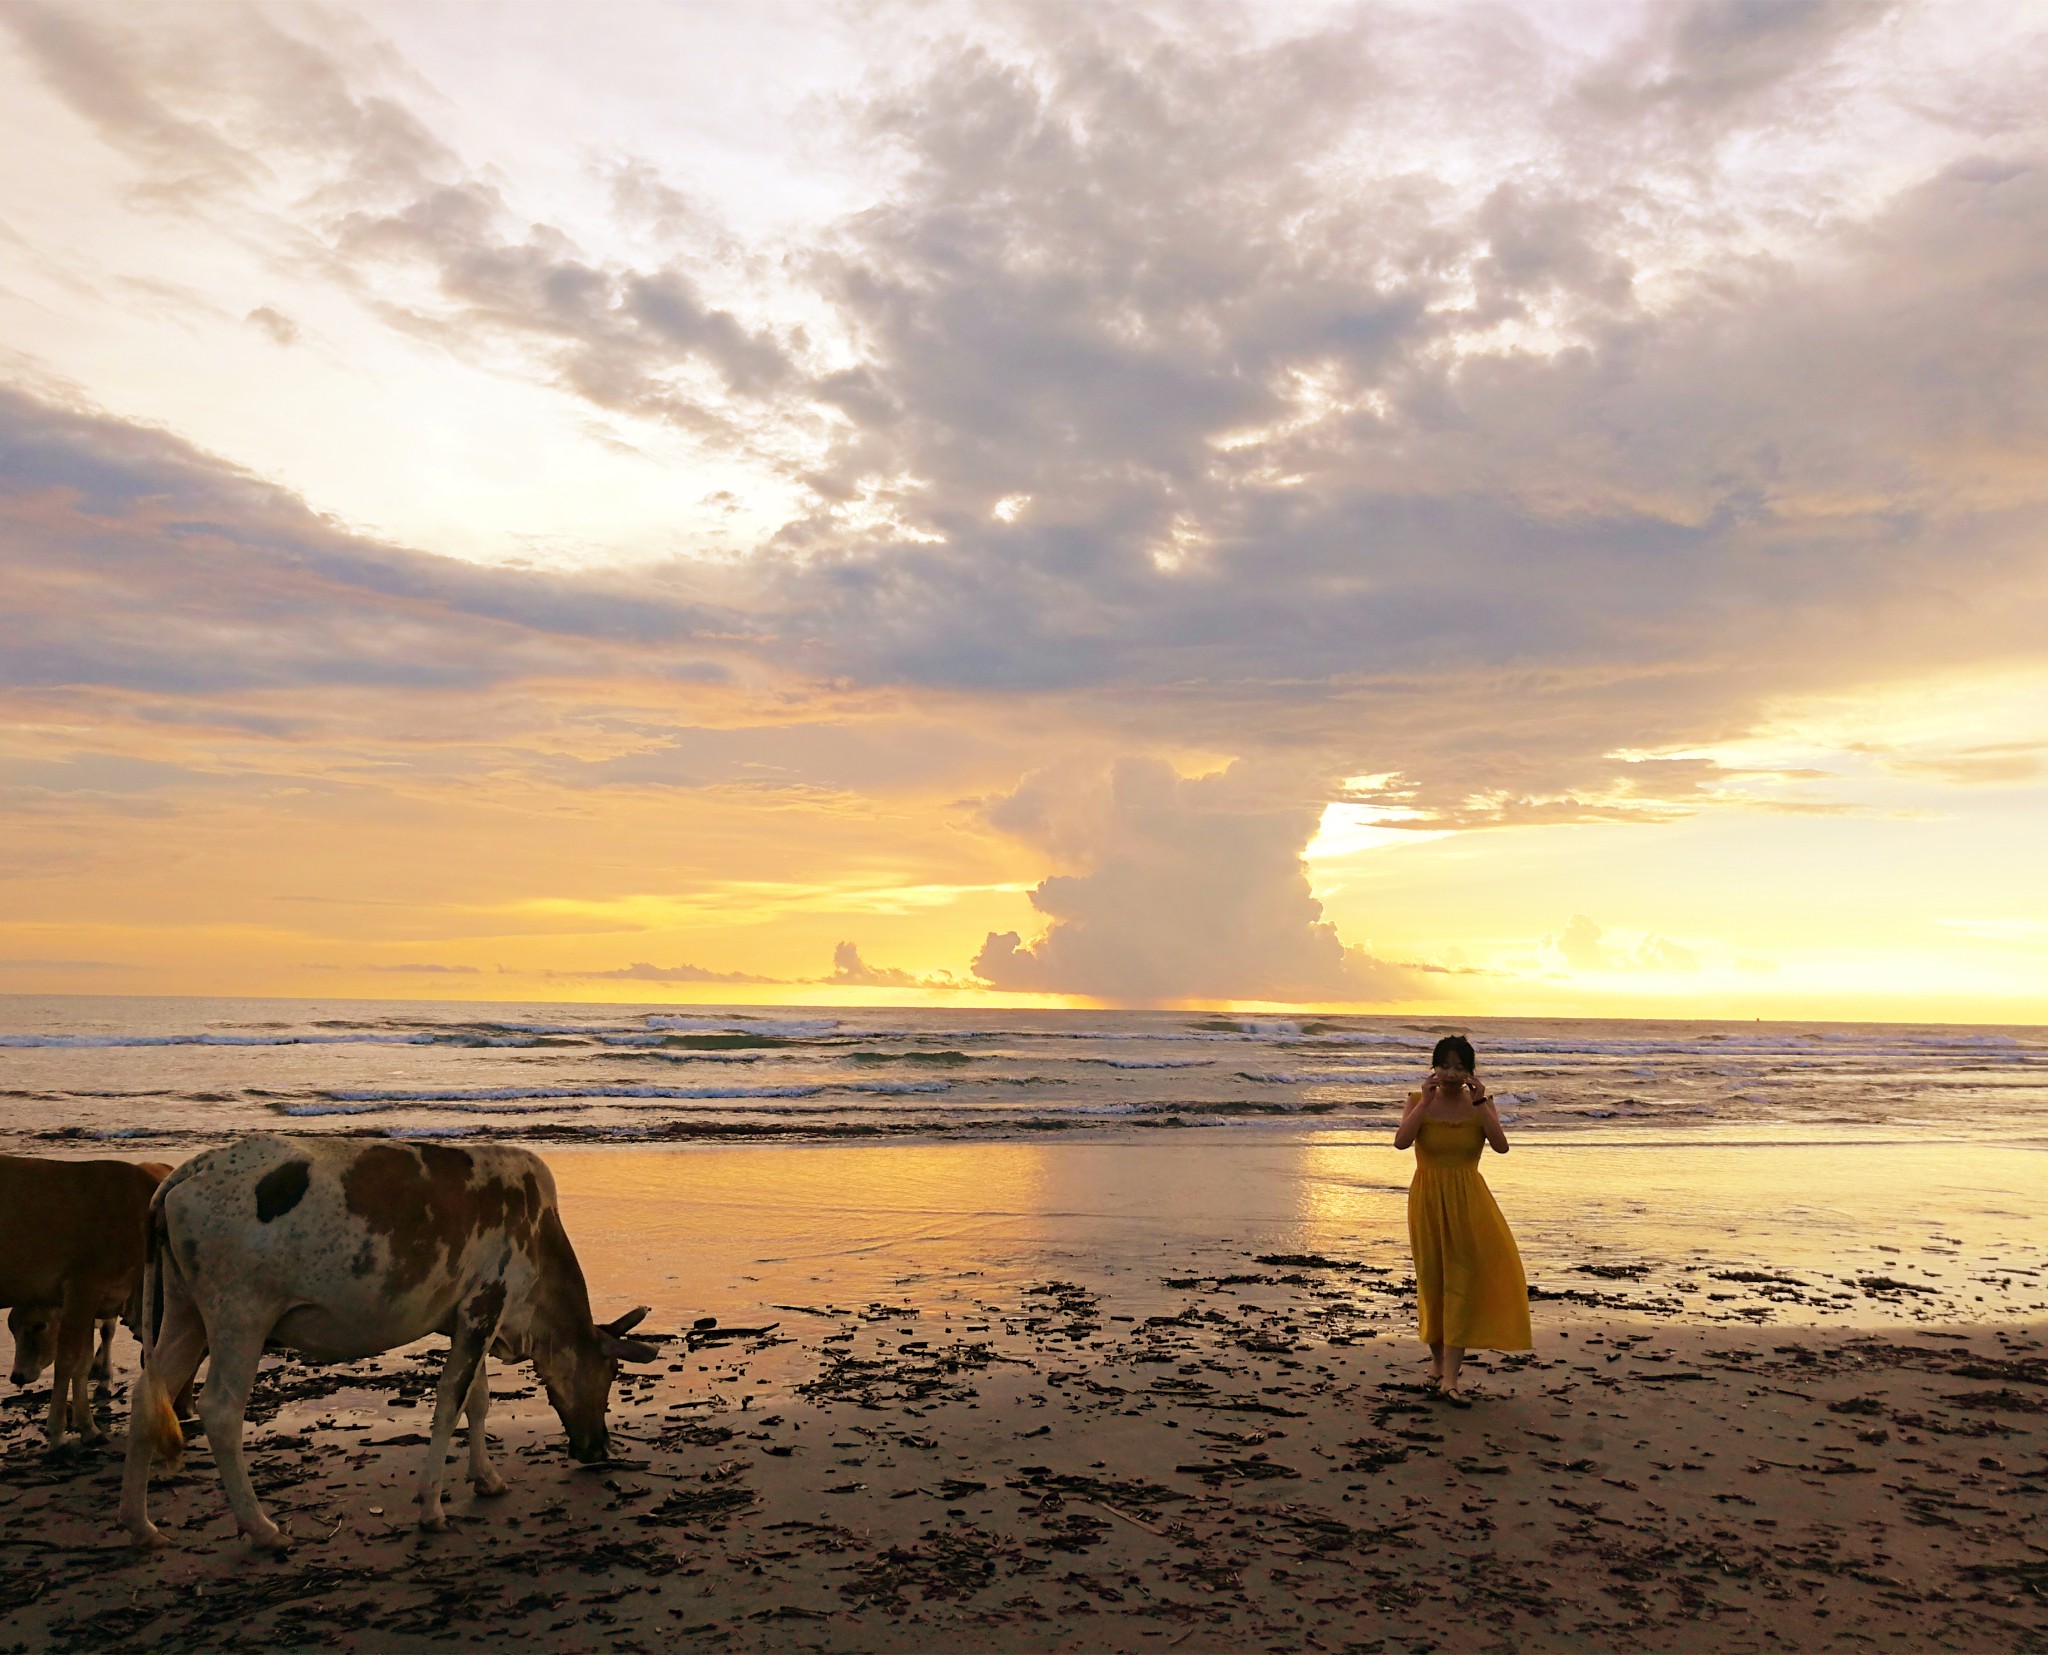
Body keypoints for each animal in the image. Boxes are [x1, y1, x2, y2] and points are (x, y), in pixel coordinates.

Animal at [1, 1147, 174, 1450]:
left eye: (38, 1326)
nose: (17, 1377)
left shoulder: (92, 1298)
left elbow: (79, 1362)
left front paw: (86, 1427)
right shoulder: (84, 1289)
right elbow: (69, 1360)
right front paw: (59, 1430)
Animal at [117, 1130, 655, 1548]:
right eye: (610, 1371)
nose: (599, 1449)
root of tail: (191, 1169)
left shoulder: (471, 1318)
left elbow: (478, 1400)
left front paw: (486, 1478)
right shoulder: (487, 1305)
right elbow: (450, 1402)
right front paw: (432, 1508)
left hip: (185, 1313)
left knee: (146, 1396)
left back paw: (141, 1526)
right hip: (239, 1318)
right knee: (222, 1413)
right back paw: (262, 1528)